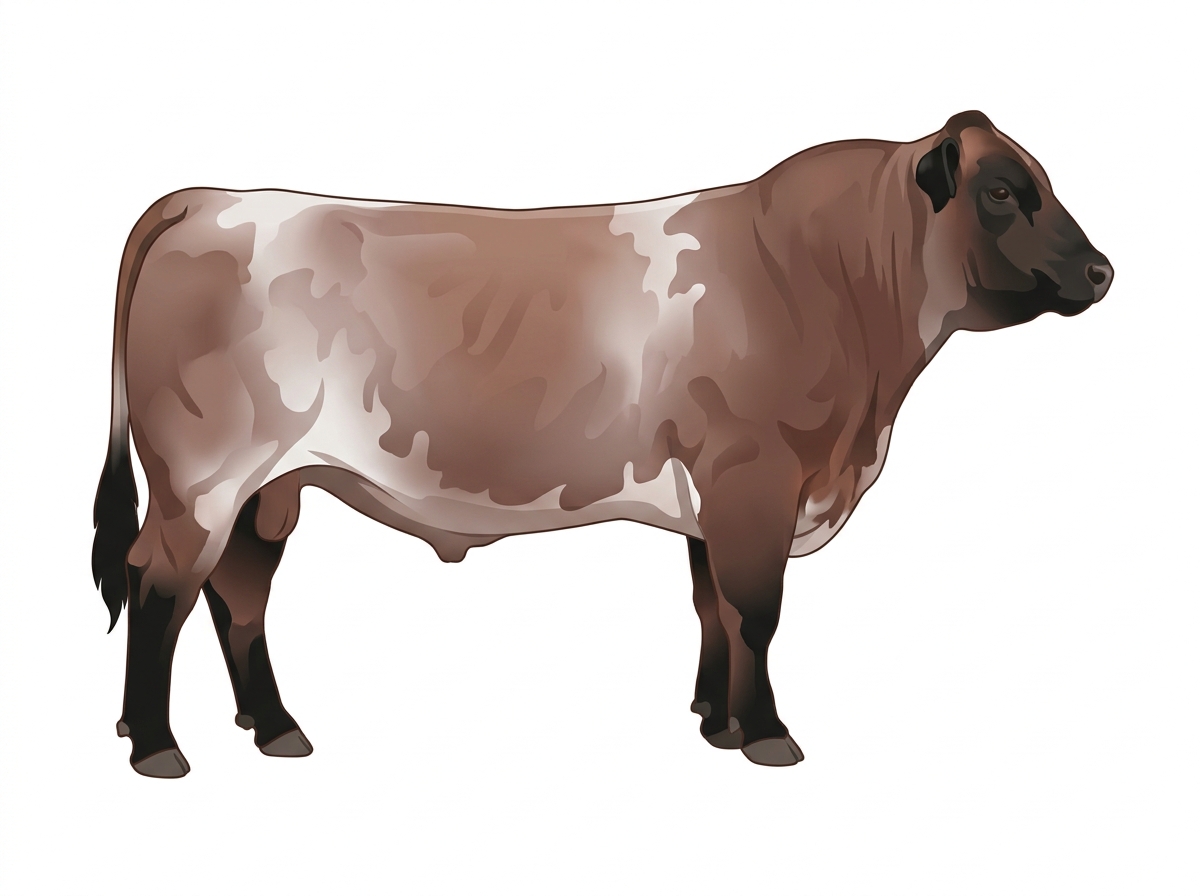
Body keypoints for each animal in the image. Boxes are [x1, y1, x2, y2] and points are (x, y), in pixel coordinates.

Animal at [92, 111, 1112, 777]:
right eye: (1001, 191)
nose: (1103, 270)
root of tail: (206, 198)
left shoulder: (716, 496)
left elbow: (710, 609)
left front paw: (716, 724)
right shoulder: (754, 479)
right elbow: (756, 612)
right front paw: (768, 736)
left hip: (269, 487)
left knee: (240, 595)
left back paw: (273, 727)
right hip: (202, 477)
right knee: (160, 586)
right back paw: (158, 746)